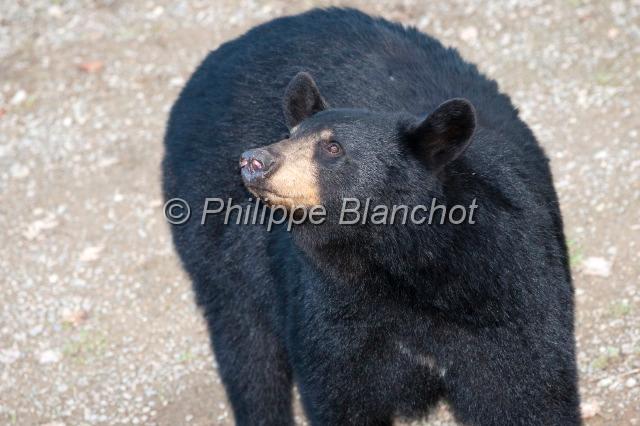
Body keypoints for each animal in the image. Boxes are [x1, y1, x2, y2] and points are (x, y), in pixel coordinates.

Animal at [162, 7, 580, 426]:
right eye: (290, 134)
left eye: (332, 147)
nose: (253, 160)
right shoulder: (333, 312)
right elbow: (339, 392)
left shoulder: (509, 293)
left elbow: (529, 392)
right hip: (219, 246)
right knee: (249, 349)